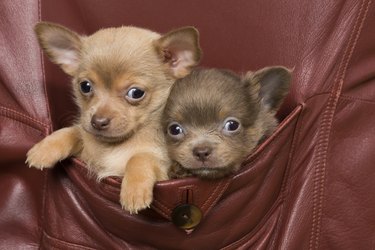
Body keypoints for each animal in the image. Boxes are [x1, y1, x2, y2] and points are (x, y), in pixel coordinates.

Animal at [25, 22, 203, 213]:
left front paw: (134, 191)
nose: (98, 122)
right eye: (85, 86)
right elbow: (73, 131)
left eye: (136, 93)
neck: (115, 145)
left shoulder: (162, 166)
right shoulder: (85, 152)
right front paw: (43, 150)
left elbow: (140, 157)